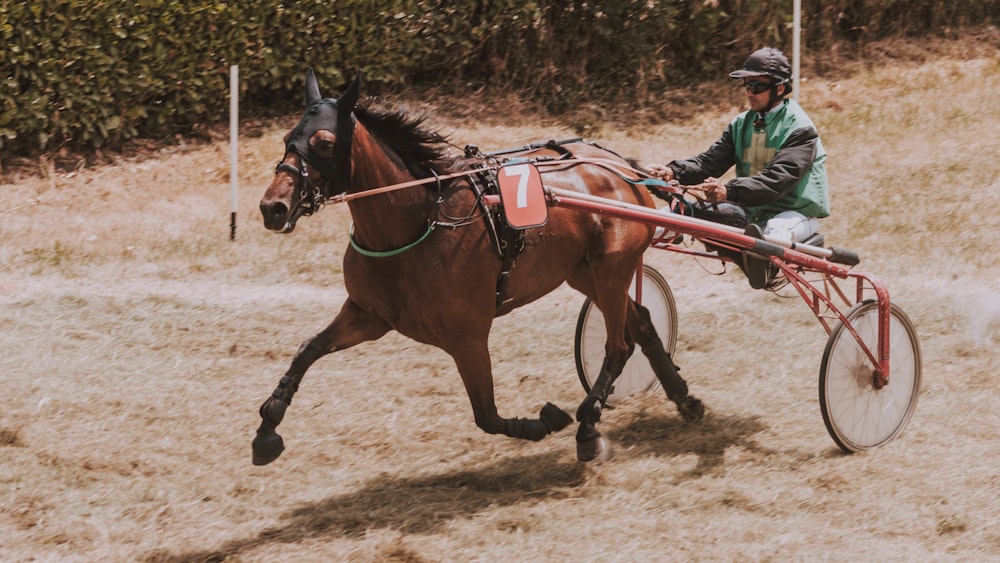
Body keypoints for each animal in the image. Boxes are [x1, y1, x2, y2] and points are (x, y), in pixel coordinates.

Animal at [252, 71, 704, 468]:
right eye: (287, 138)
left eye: (325, 142)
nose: (273, 207)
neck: (418, 222)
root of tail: (625, 171)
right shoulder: (368, 315)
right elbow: (307, 350)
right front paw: (266, 429)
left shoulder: (467, 336)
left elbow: (486, 415)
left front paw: (547, 421)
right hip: (584, 272)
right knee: (641, 323)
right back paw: (684, 398)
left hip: (612, 267)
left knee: (619, 345)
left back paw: (589, 426)